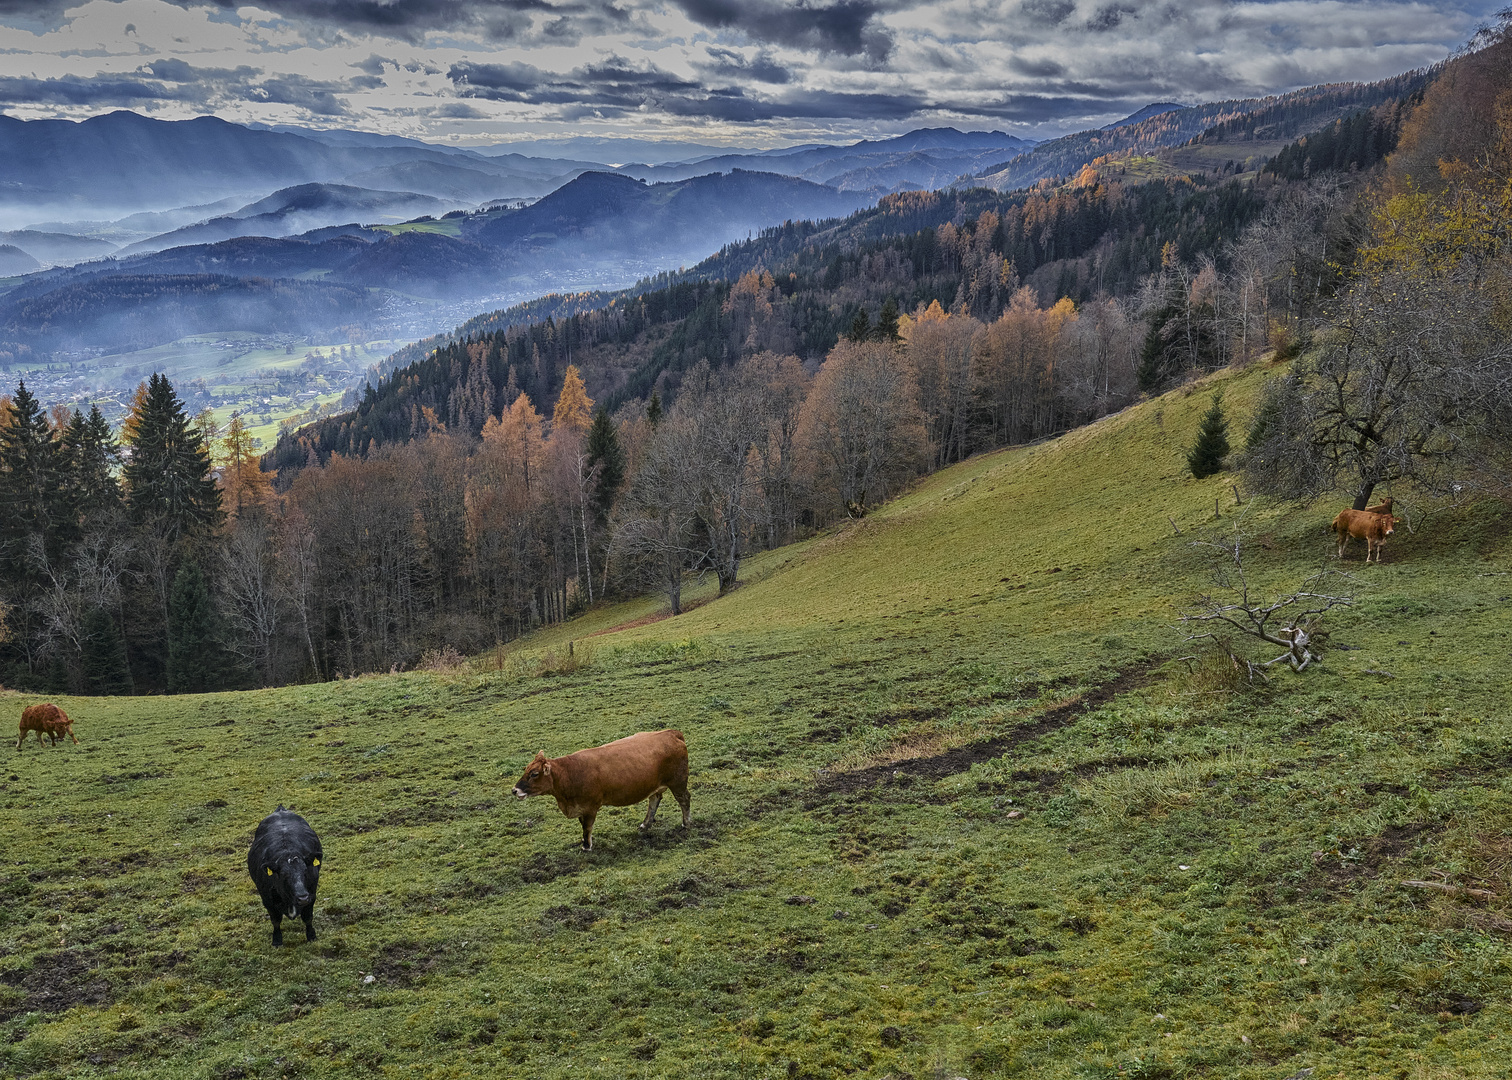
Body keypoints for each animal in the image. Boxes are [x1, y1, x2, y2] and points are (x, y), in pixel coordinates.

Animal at [247, 798, 322, 943]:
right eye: (283, 875)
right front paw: (277, 940)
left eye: (305, 871)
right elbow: (275, 921)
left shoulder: (311, 894)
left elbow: (308, 918)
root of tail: (280, 810)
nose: (302, 897)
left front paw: (311, 935)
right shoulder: (267, 900)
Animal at [514, 723, 692, 847]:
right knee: (654, 800)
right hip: (656, 785)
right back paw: (645, 824)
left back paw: (686, 823)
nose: (514, 790)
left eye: (534, 774)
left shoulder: (590, 806)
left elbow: (587, 827)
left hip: (678, 782)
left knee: (684, 799)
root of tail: (671, 733)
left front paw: (586, 846)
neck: (569, 773)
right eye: (526, 769)